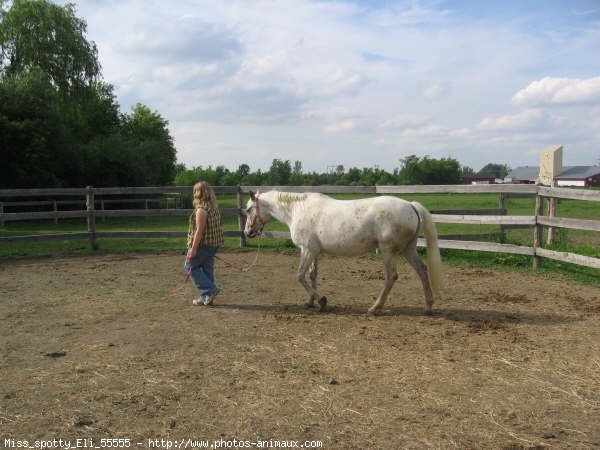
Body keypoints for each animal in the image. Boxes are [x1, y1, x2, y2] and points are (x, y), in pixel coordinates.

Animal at [241, 192, 442, 314]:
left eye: (249, 209)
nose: (247, 232)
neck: (298, 210)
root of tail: (410, 205)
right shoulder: (314, 252)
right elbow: (312, 275)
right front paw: (311, 302)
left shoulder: (307, 250)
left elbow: (300, 275)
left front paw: (322, 300)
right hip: (408, 249)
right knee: (422, 270)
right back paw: (428, 306)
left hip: (387, 250)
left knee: (391, 276)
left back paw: (375, 308)